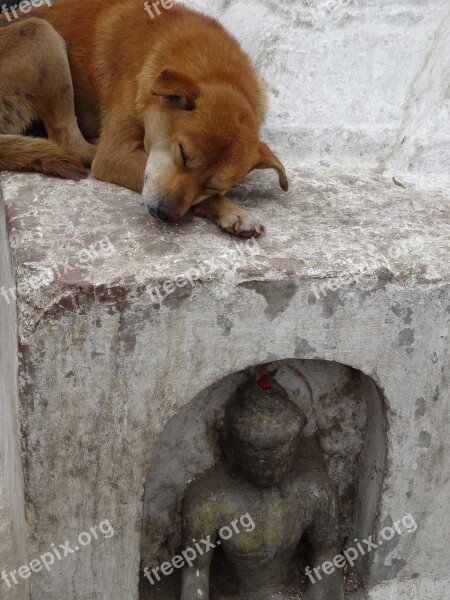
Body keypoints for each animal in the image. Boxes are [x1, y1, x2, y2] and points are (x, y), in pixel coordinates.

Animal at [0, 0, 288, 237]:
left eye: (213, 186)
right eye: (183, 154)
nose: (165, 213)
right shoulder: (115, 155)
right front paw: (232, 210)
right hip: (40, 34)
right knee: (70, 144)